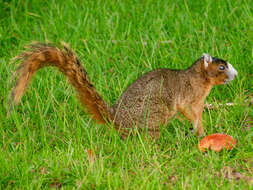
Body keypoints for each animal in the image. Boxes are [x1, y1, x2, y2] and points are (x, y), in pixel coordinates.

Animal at [10, 42, 237, 138]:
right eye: (221, 67)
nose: (235, 74)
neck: (200, 79)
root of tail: (115, 120)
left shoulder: (198, 102)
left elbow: (197, 117)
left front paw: (200, 132)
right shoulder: (188, 96)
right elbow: (187, 111)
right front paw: (194, 130)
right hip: (154, 114)